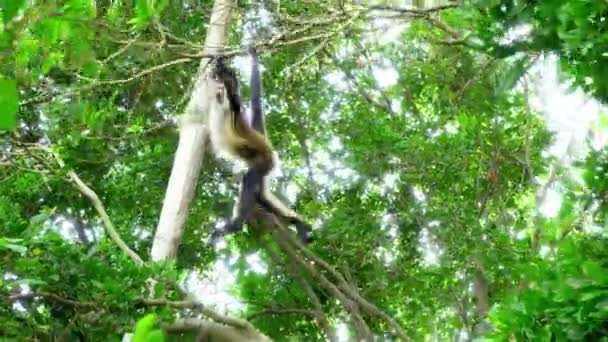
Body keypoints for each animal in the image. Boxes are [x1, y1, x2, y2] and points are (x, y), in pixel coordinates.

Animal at [208, 48, 314, 246]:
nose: (218, 91)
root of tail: (266, 145)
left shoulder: (233, 113)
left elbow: (236, 102)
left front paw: (229, 78)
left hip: (264, 161)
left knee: (250, 180)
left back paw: (235, 225)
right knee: (261, 196)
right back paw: (298, 222)